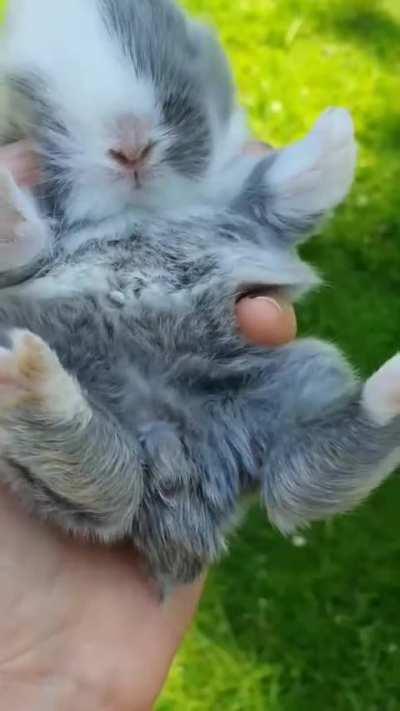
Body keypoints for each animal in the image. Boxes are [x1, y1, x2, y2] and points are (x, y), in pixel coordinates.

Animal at [0, 0, 398, 589]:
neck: (140, 211)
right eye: (38, 103)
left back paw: (390, 387)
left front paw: (336, 130)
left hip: (294, 380)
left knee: (299, 477)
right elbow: (23, 239)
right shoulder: (34, 253)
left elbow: (286, 191)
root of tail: (175, 454)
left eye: (178, 61)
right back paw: (31, 382)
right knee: (109, 488)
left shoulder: (244, 206)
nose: (131, 147)